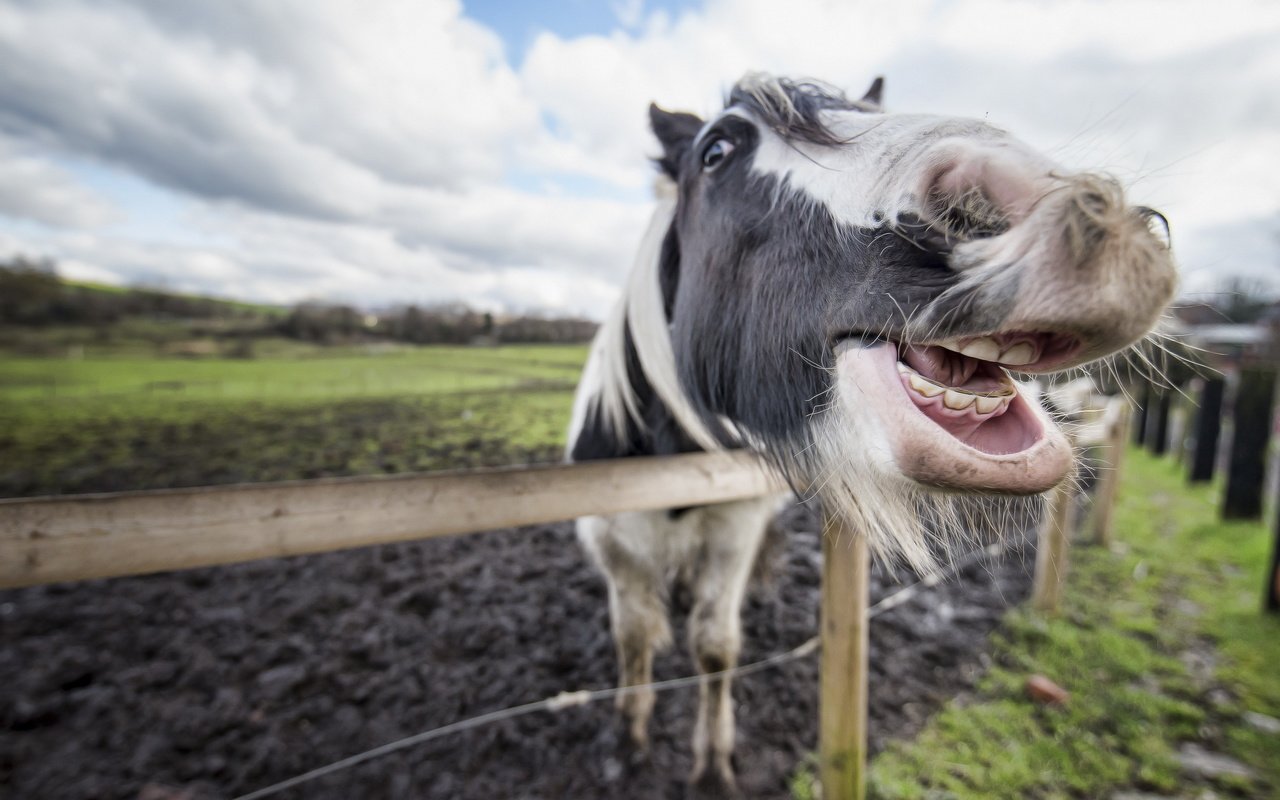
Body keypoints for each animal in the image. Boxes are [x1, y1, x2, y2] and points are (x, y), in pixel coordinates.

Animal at [565, 74, 1172, 788]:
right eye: (715, 151)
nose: (1061, 206)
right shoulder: (614, 545)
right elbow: (634, 638)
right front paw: (630, 740)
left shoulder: (734, 533)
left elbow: (715, 648)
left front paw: (712, 765)